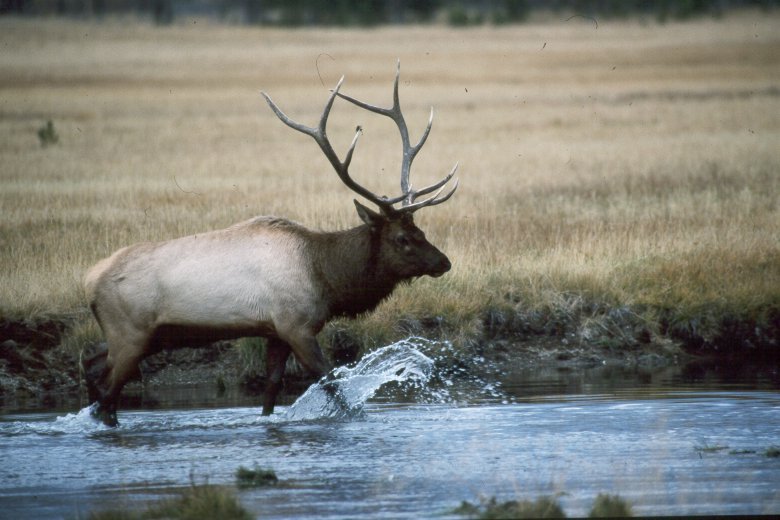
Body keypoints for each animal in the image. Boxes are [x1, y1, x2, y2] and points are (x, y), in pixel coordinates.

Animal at [80, 62, 458, 426]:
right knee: (108, 391)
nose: (444, 262)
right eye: (401, 238)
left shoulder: (274, 331)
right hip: (130, 333)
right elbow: (331, 382)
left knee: (92, 366)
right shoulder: (296, 325)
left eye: (421, 230)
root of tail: (89, 280)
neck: (327, 277)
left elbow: (271, 390)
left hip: (144, 337)